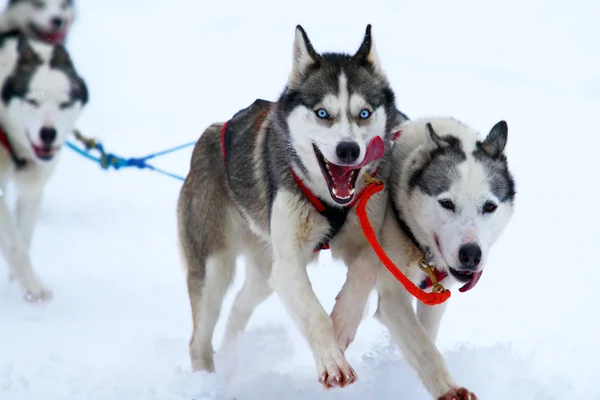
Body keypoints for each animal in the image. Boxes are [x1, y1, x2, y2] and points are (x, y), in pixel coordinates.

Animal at [0, 30, 88, 300]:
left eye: (64, 104)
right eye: (32, 101)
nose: (48, 134)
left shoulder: (33, 189)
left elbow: (23, 237)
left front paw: (19, 282)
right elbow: (15, 243)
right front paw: (33, 287)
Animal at [176, 25, 406, 388]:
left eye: (364, 113)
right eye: (322, 113)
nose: (348, 150)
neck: (329, 199)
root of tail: (210, 135)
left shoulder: (368, 238)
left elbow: (364, 271)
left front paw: (342, 323)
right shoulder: (288, 264)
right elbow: (313, 313)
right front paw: (332, 361)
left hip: (262, 271)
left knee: (239, 307)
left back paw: (231, 354)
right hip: (214, 266)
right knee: (198, 339)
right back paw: (206, 381)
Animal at [332, 117, 516, 398]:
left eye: (489, 206)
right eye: (447, 203)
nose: (471, 254)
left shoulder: (436, 296)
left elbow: (426, 334)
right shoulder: (393, 295)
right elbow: (423, 346)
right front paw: (449, 389)